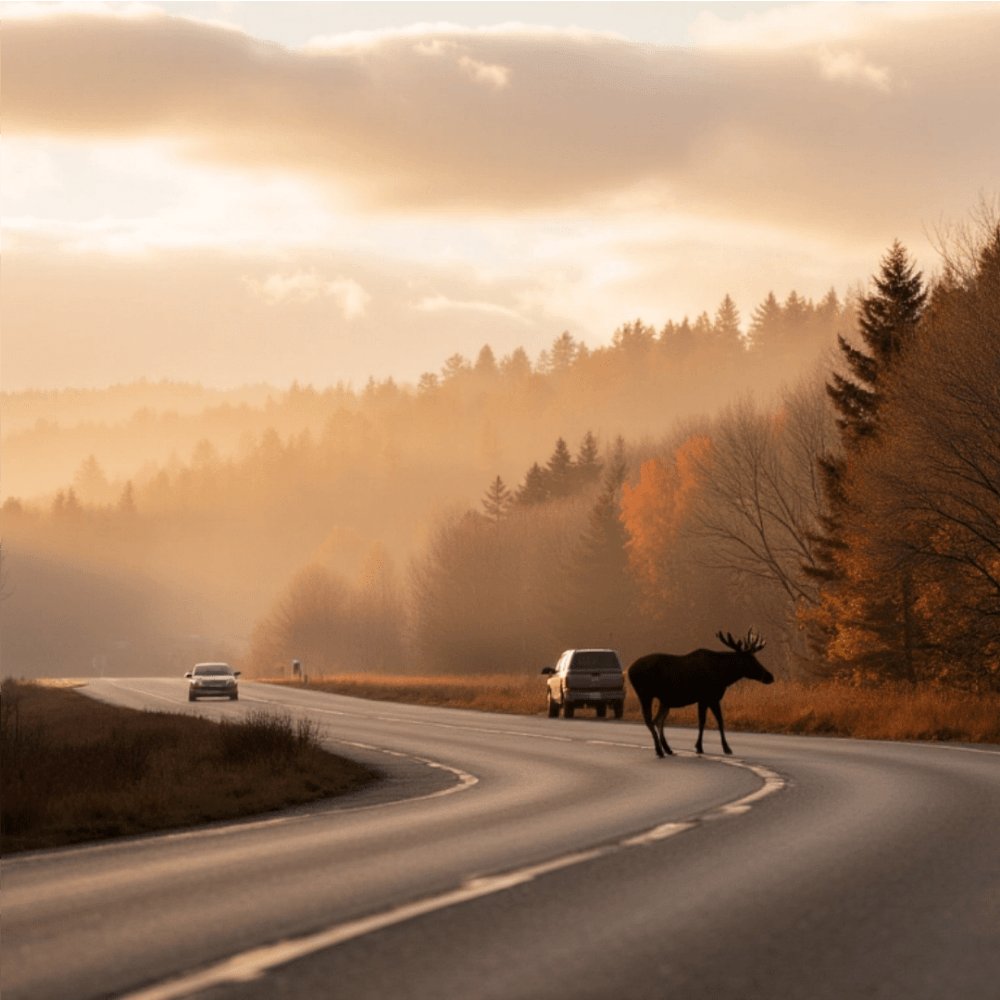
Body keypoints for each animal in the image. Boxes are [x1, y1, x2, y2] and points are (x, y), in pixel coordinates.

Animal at [627, 629, 773, 758]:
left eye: (756, 658)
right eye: (751, 661)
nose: (770, 676)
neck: (723, 675)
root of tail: (629, 671)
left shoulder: (710, 698)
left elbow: (713, 721)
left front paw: (704, 747)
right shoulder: (707, 697)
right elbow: (709, 721)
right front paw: (721, 748)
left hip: (664, 700)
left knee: (658, 720)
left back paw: (667, 749)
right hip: (645, 694)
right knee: (649, 720)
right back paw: (659, 751)